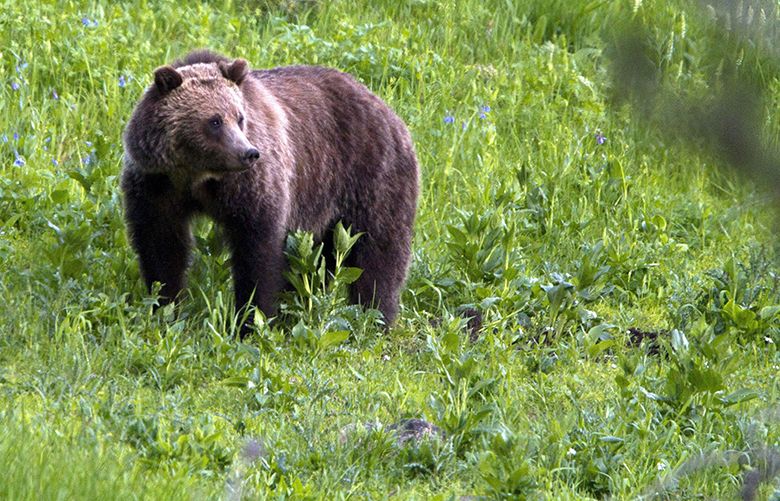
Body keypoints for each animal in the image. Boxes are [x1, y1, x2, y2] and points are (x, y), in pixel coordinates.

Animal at [120, 48, 420, 326]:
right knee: (323, 258)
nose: (248, 153)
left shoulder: (251, 187)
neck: (197, 175)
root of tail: (387, 108)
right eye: (214, 121)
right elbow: (161, 245)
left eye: (239, 117)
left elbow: (258, 251)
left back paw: (375, 317)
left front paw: (252, 318)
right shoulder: (157, 185)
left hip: (371, 176)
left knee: (379, 251)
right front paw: (165, 307)